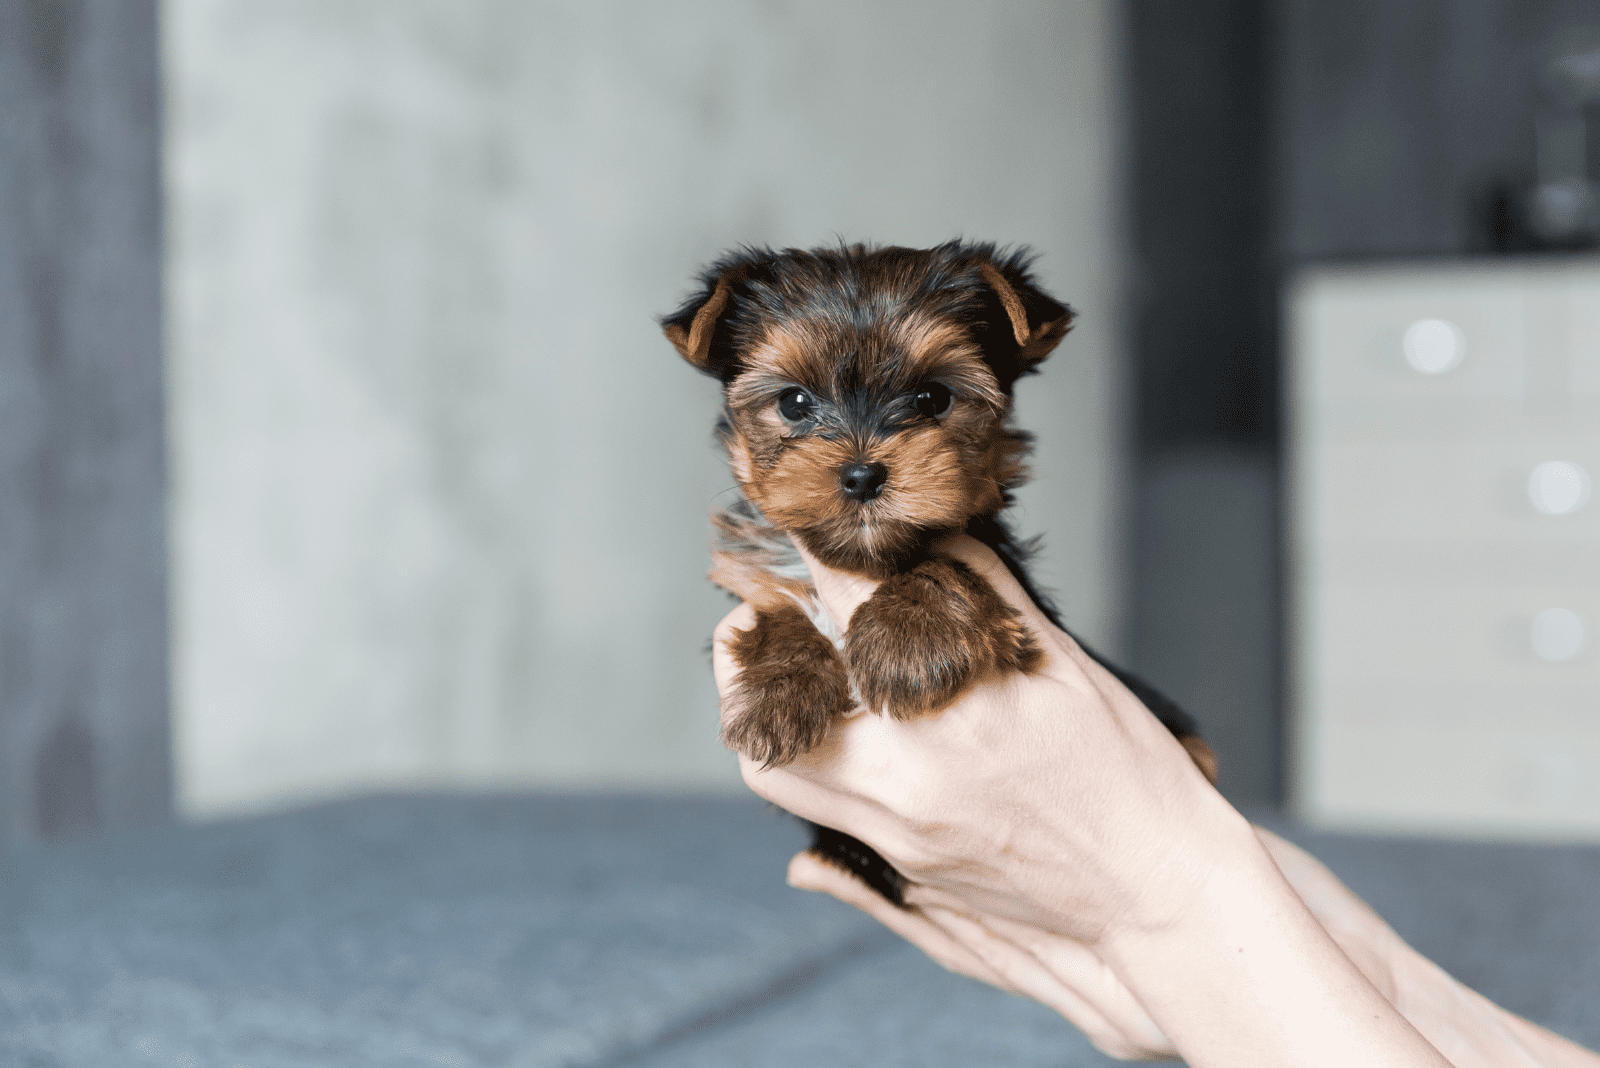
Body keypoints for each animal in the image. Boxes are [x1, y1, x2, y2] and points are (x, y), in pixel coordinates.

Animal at [662, 239, 1209, 901]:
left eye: (933, 399)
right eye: (793, 402)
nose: (861, 475)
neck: (867, 561)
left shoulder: (1007, 579)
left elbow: (946, 561)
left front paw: (907, 641)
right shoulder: (754, 574)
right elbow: (776, 605)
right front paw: (778, 691)